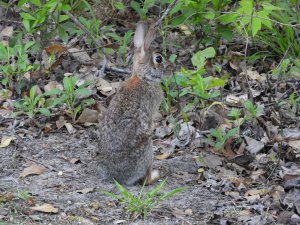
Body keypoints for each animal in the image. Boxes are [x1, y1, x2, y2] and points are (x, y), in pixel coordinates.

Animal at [97, 22, 172, 185]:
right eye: (158, 59)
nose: (171, 68)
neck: (143, 77)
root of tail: (120, 178)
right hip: (147, 149)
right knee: (146, 179)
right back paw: (155, 175)